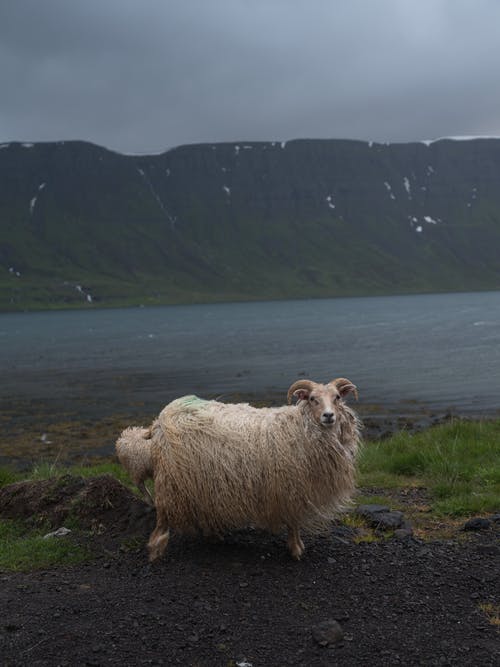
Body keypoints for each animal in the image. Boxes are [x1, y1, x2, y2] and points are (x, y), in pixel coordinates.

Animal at [146, 378, 362, 560]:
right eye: (312, 399)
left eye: (337, 397)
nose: (329, 415)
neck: (301, 427)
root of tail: (162, 417)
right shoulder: (290, 487)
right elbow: (293, 521)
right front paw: (295, 549)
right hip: (170, 479)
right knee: (162, 514)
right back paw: (156, 549)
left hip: (201, 481)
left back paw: (213, 535)